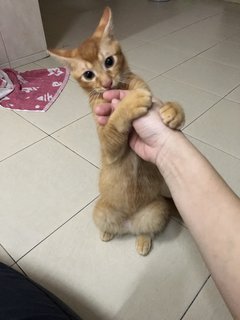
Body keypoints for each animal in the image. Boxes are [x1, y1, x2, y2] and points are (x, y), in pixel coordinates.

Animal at [48, 6, 184, 255]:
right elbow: (114, 123)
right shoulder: (109, 146)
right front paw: (130, 103)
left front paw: (174, 111)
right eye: (88, 75)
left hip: (157, 209)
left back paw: (143, 240)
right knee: (112, 225)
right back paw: (107, 232)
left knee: (146, 229)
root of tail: (128, 223)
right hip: (100, 209)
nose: (107, 83)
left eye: (109, 61)